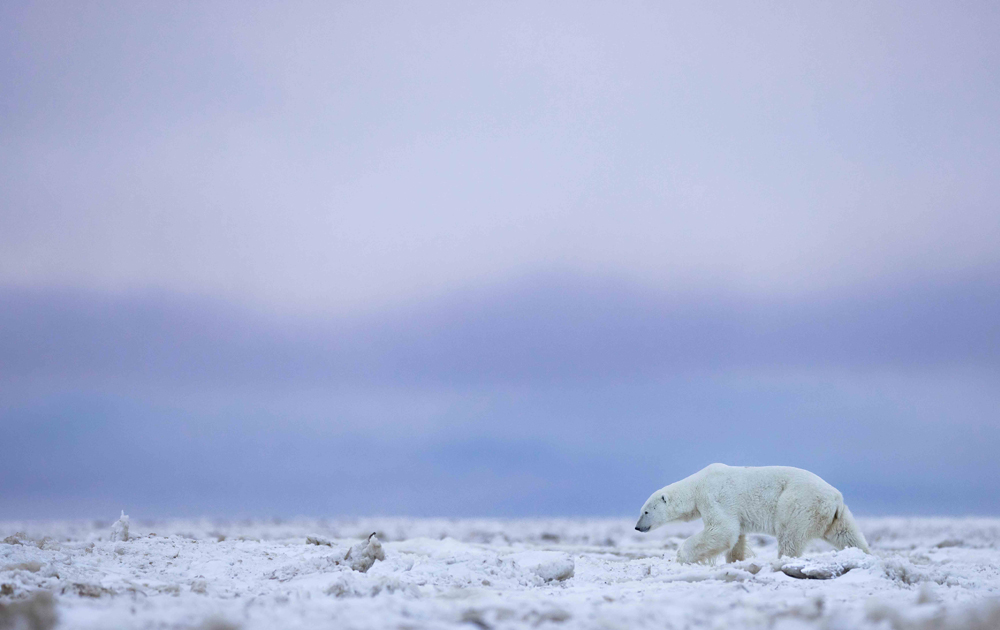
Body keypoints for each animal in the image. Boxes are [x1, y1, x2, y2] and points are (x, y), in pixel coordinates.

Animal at [636, 464, 872, 564]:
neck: (697, 485)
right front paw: (735, 561)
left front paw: (682, 555)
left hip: (798, 502)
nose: (638, 527)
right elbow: (735, 537)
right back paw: (864, 553)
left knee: (789, 535)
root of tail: (835, 498)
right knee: (846, 534)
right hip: (835, 516)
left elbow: (722, 530)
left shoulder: (716, 497)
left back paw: (784, 560)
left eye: (645, 511)